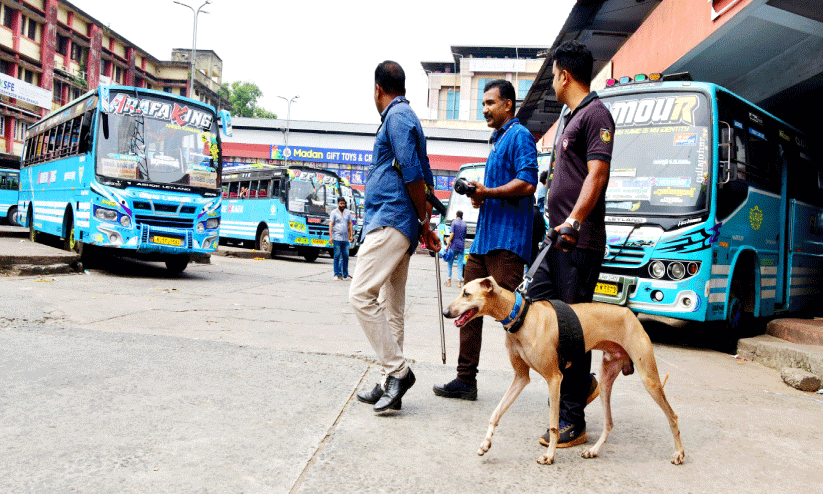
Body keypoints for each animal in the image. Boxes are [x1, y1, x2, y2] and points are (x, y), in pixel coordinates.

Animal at [440, 278, 684, 466]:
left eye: (467, 293)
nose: (445, 312)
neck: (521, 315)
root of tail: (630, 313)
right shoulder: (520, 378)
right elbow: (496, 413)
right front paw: (486, 444)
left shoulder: (554, 379)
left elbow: (554, 425)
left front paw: (549, 456)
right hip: (607, 379)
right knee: (609, 422)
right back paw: (593, 450)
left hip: (649, 379)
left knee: (672, 416)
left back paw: (679, 453)